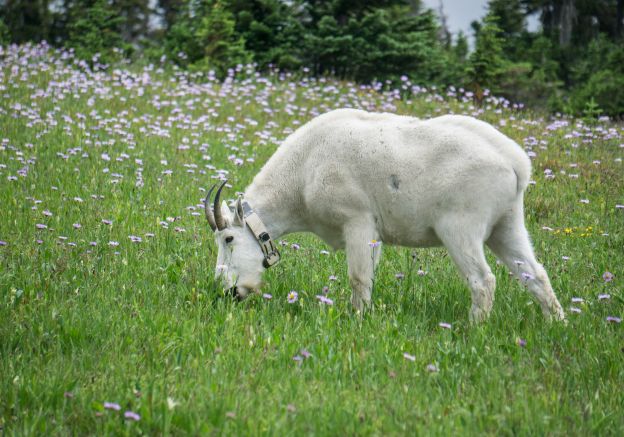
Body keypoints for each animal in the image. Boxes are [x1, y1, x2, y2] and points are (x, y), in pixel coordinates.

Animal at [205, 107, 564, 322]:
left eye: (229, 238)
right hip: (507, 223)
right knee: (535, 273)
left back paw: (472, 328)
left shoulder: (357, 220)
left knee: (482, 280)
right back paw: (556, 322)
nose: (228, 291)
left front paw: (357, 319)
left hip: (461, 227)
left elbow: (358, 277)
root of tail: (516, 164)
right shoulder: (373, 234)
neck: (304, 171)